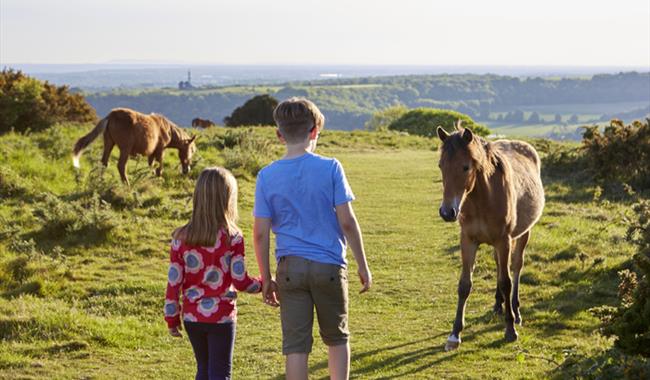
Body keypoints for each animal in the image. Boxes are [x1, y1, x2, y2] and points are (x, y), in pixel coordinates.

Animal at [436, 121, 540, 350]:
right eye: (440, 166)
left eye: (466, 167)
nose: (447, 212)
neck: (482, 199)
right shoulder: (468, 240)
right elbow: (465, 285)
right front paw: (455, 334)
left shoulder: (503, 240)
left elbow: (506, 282)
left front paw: (510, 329)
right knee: (499, 266)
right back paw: (498, 304)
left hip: (522, 235)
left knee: (516, 267)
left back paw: (515, 310)